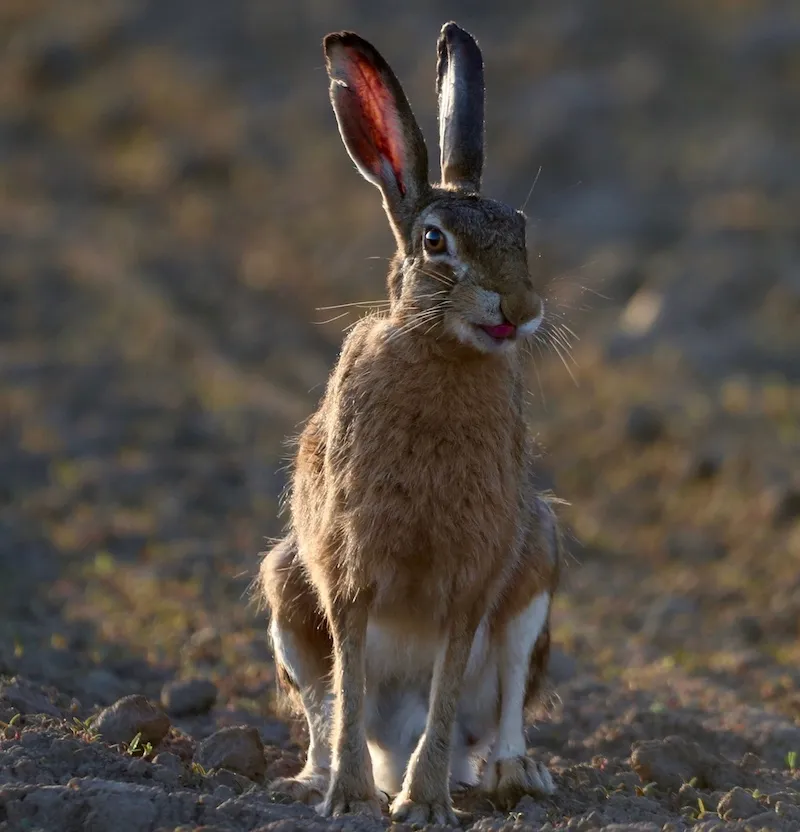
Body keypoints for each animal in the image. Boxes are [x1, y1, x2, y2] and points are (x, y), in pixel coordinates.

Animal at [258, 21, 563, 826]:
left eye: (521, 230)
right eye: (435, 242)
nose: (521, 308)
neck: (439, 350)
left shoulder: (476, 572)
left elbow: (449, 685)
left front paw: (422, 806)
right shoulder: (347, 564)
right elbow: (350, 676)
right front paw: (350, 798)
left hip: (537, 569)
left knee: (500, 706)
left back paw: (515, 776)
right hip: (284, 589)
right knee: (327, 705)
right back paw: (317, 779)